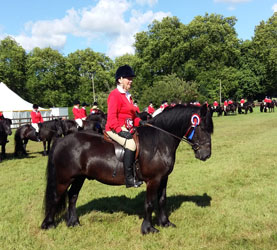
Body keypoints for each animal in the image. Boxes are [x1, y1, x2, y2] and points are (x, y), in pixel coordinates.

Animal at [41, 103, 213, 234]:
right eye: (203, 128)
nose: (206, 155)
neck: (159, 141)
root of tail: (61, 141)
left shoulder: (163, 178)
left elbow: (162, 200)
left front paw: (165, 223)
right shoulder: (153, 180)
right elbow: (149, 203)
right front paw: (148, 229)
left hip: (79, 178)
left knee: (73, 196)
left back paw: (73, 222)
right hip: (64, 179)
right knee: (56, 197)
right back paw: (48, 225)